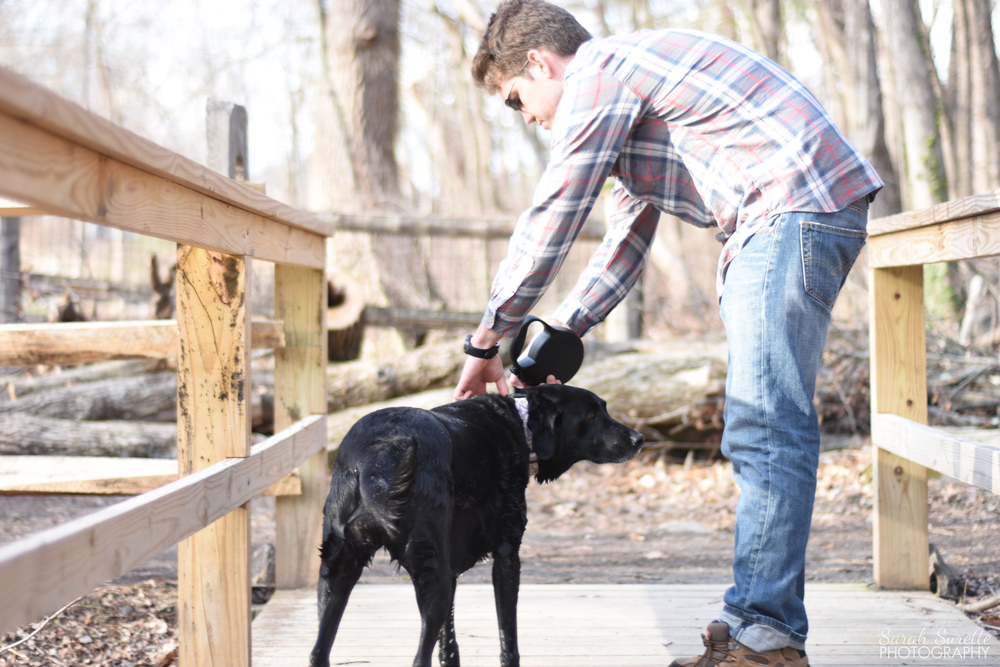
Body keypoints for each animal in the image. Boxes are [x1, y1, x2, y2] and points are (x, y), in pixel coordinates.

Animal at [308, 384, 644, 664]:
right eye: (591, 414)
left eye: (603, 409)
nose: (639, 439)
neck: (520, 423)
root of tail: (378, 453)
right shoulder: (507, 556)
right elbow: (508, 640)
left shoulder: (452, 570)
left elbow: (449, 645)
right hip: (432, 575)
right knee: (419, 658)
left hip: (337, 571)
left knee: (318, 652)